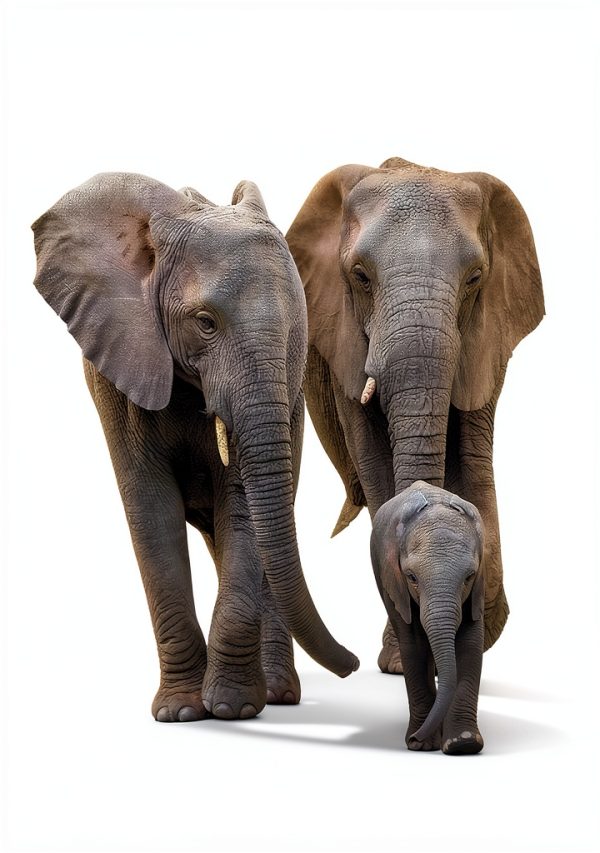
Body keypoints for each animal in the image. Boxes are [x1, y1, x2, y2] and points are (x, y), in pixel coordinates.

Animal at [32, 172, 358, 723]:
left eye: (295, 331)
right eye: (206, 322)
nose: (354, 664)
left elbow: (243, 508)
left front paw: (231, 709)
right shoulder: (117, 370)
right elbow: (152, 511)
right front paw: (181, 713)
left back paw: (277, 694)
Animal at [286, 156, 544, 670]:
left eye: (475, 278)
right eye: (360, 276)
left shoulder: (488, 334)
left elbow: (473, 457)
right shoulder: (344, 339)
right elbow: (375, 462)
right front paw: (402, 662)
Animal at [371, 482, 485, 754]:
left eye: (469, 576)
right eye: (411, 577)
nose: (413, 739)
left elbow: (470, 643)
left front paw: (463, 744)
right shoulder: (395, 583)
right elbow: (414, 646)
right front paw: (422, 745)